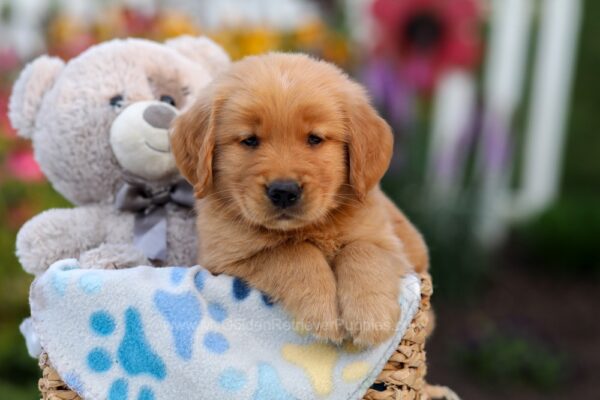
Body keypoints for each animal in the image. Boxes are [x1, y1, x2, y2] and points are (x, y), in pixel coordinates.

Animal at [171, 54, 428, 346]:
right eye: (250, 140)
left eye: (314, 139)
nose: (283, 191)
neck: (311, 227)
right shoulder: (224, 261)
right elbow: (292, 252)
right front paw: (323, 310)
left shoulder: (395, 251)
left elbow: (364, 250)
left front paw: (370, 316)